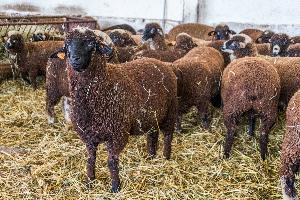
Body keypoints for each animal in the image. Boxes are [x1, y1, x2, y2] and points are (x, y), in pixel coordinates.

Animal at [50, 28, 177, 192]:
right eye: (66, 46)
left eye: (91, 43)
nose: (74, 59)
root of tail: (161, 63)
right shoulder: (88, 136)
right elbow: (90, 159)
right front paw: (89, 182)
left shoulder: (117, 134)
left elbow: (112, 161)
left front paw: (115, 187)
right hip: (152, 115)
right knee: (153, 135)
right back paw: (151, 156)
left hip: (170, 111)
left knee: (168, 136)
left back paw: (166, 157)